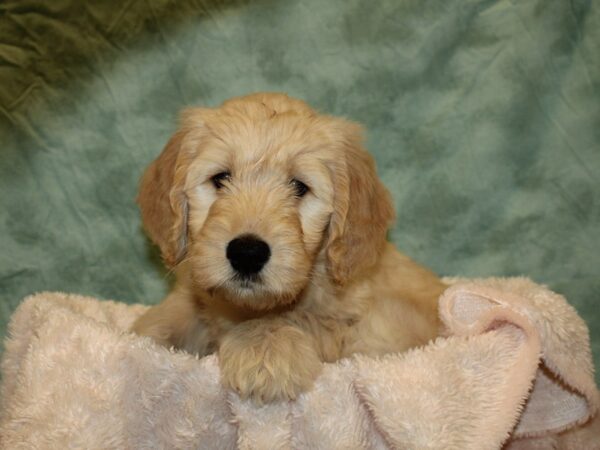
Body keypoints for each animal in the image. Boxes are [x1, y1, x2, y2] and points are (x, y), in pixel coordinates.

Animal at [134, 93, 448, 402]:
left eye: (299, 187)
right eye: (221, 178)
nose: (247, 253)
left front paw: (264, 347)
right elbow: (171, 315)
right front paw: (143, 334)